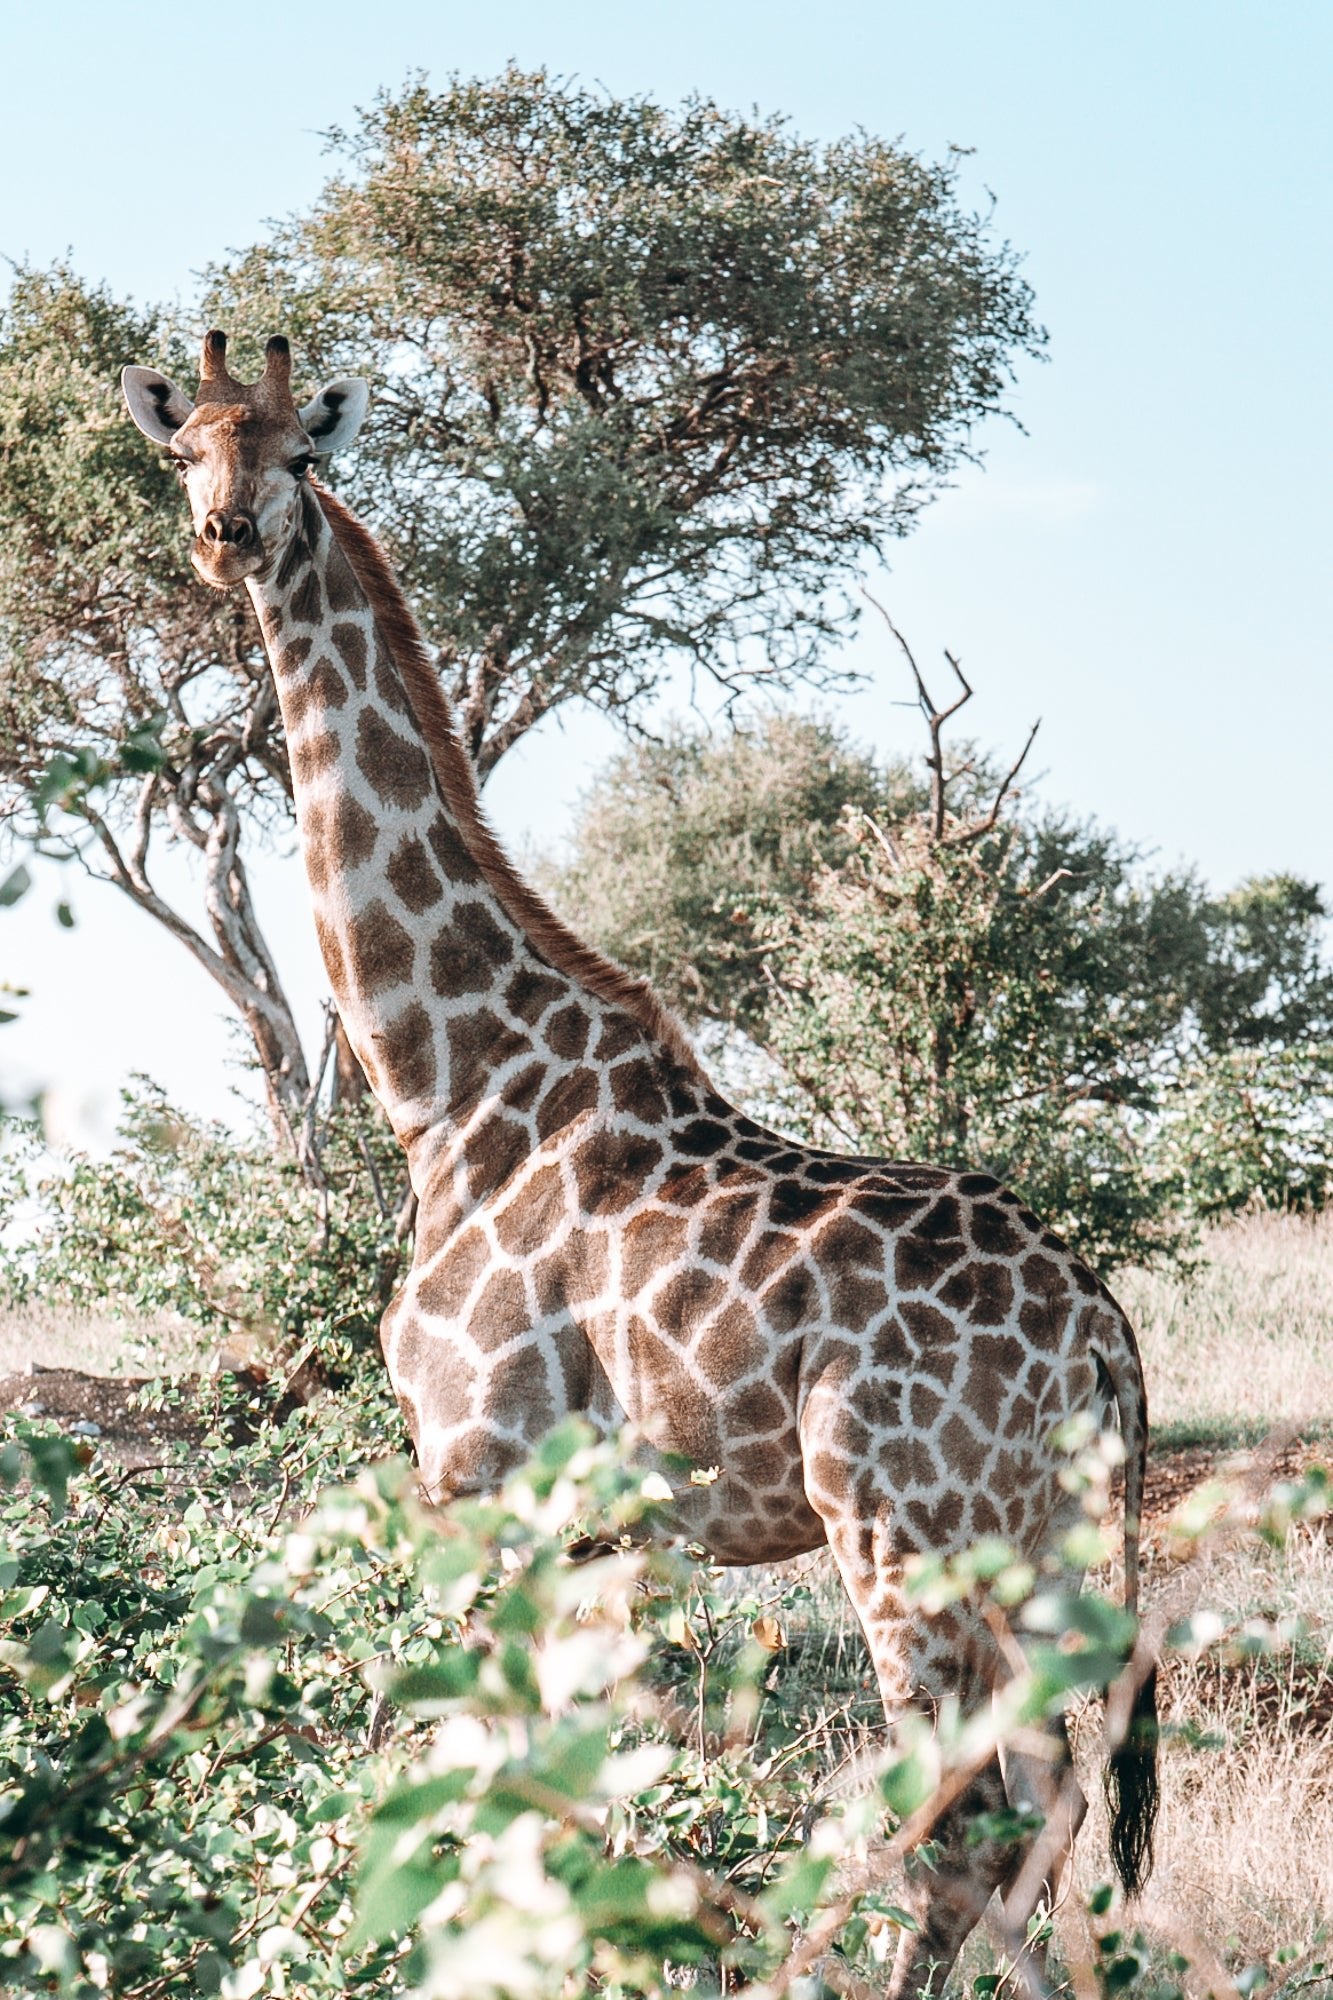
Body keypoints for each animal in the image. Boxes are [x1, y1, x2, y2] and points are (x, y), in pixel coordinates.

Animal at [122, 332, 1158, 1996]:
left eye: (301, 457)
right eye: (187, 450)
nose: (228, 535)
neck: (455, 1091)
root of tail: (1101, 1327)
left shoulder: (473, 1468)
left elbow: (457, 1782)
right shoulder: (596, 1530)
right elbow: (566, 1803)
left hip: (899, 1530)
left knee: (966, 1818)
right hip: (1041, 1543)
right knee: (1047, 1791)